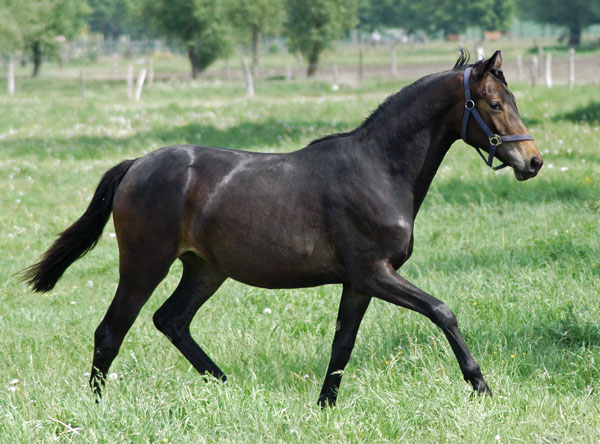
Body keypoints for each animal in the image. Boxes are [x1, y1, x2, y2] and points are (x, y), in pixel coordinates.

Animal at [22, 50, 544, 408]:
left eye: (513, 99)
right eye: (493, 103)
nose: (533, 162)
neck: (377, 169)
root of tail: (136, 165)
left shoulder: (358, 283)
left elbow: (342, 343)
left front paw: (325, 405)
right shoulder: (375, 273)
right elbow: (442, 312)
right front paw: (480, 385)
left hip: (204, 270)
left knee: (171, 320)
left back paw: (226, 386)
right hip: (144, 263)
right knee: (111, 330)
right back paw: (98, 406)